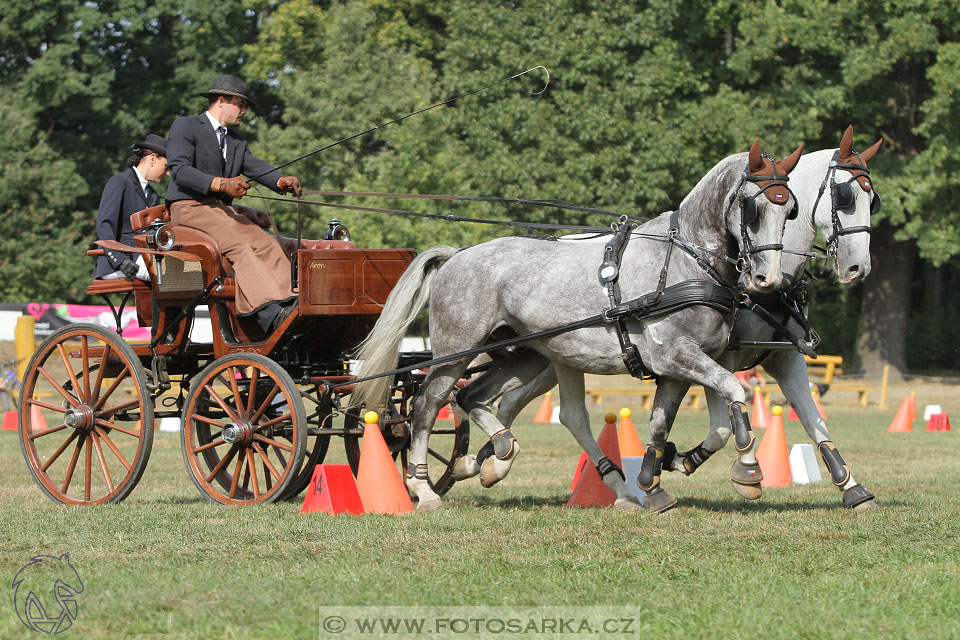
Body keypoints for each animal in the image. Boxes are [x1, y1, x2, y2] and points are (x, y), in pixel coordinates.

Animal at [352, 140, 804, 510]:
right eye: (753, 207)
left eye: (790, 209)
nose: (767, 279)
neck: (684, 260)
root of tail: (459, 254)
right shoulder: (676, 356)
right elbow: (734, 390)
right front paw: (748, 472)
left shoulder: (681, 367)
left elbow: (668, 424)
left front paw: (655, 483)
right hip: (454, 352)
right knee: (428, 404)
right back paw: (424, 489)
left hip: (524, 355)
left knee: (475, 397)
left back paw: (497, 456)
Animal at [498, 127, 880, 510]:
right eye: (844, 196)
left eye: (872, 199)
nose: (858, 268)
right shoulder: (721, 357)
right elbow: (722, 424)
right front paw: (694, 464)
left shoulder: (783, 358)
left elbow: (813, 418)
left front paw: (851, 486)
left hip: (556, 358)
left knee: (517, 402)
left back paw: (490, 459)